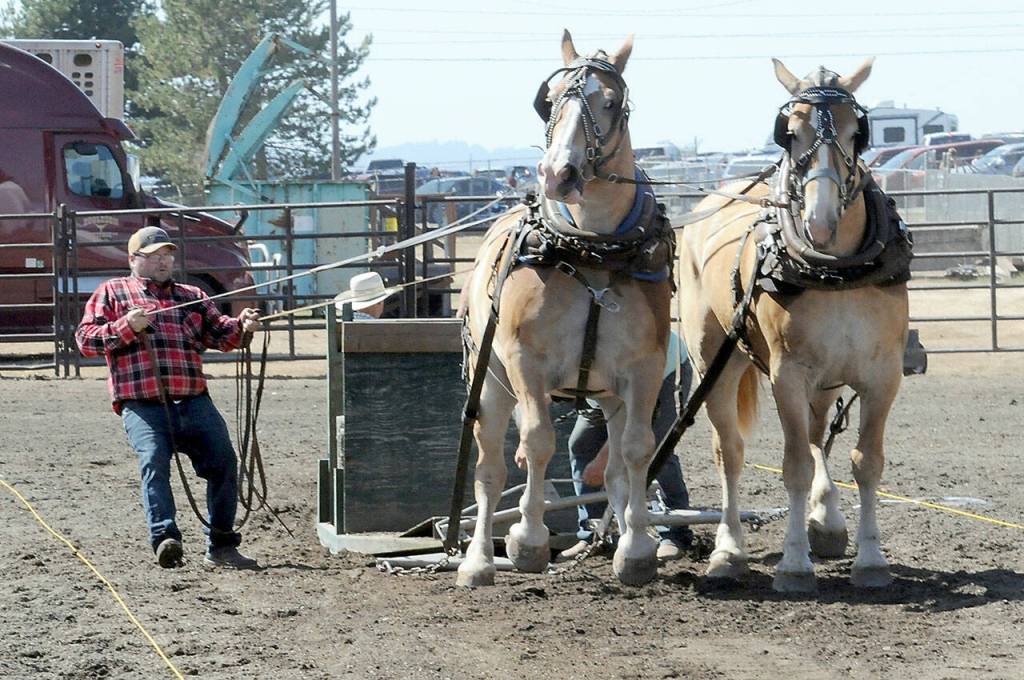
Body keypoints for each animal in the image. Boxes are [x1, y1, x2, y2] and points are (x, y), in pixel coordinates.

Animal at [455, 30, 675, 587]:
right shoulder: (525, 361)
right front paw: (527, 540)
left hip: (608, 397)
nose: (559, 172)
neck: (590, 249)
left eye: (611, 102)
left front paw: (637, 549)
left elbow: (637, 450)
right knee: (489, 468)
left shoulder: (643, 369)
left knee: (614, 466)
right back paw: (477, 561)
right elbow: (536, 443)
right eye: (550, 101)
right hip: (490, 382)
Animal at [677, 58, 912, 593]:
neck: (836, 270)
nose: (821, 221)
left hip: (827, 378)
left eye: (855, 132)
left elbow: (866, 462)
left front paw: (871, 559)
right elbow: (795, 466)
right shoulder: (787, 374)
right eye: (790, 132)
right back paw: (729, 550)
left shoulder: (882, 375)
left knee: (817, 431)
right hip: (715, 361)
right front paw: (793, 564)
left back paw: (826, 522)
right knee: (730, 451)